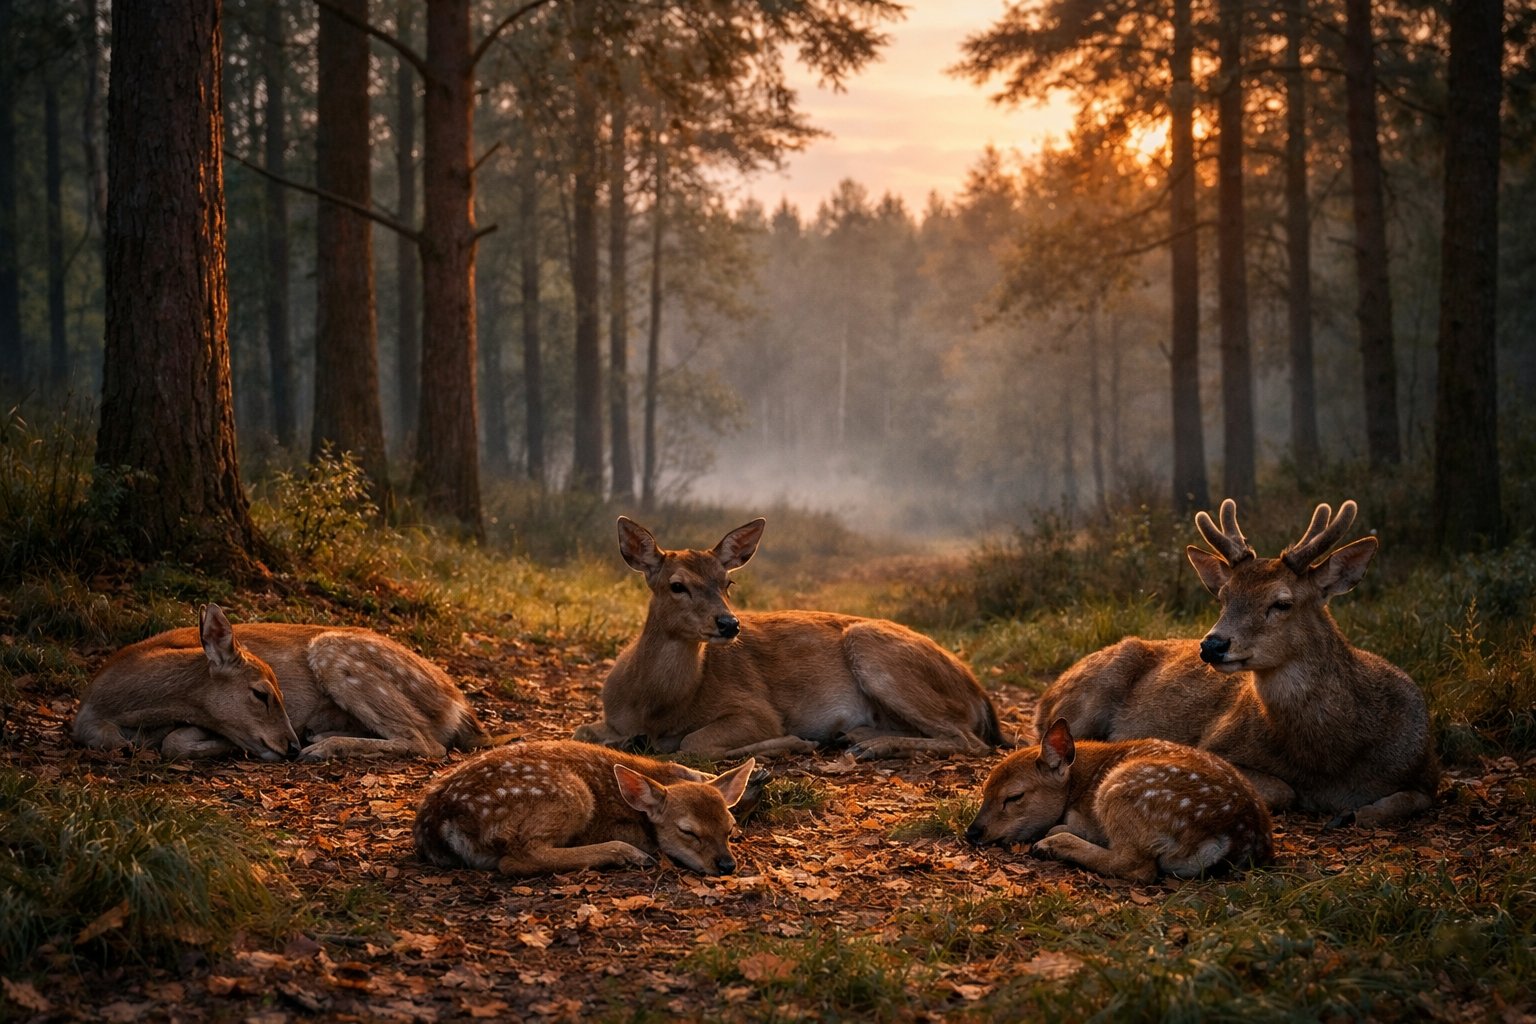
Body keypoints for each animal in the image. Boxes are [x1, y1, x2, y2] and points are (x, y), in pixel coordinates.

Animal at [73, 603, 491, 760]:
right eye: (261, 694)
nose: (289, 745)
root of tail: (459, 706)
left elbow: (173, 742)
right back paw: (319, 737)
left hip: (334, 652)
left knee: (428, 743)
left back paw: (320, 747)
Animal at [413, 739, 759, 877]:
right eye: (688, 831)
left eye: (730, 829)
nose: (726, 865)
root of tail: (438, 825)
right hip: (571, 793)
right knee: (517, 858)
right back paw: (627, 854)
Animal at [572, 516, 1006, 760]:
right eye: (677, 585)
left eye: (727, 582)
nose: (729, 624)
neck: (656, 706)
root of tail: (979, 696)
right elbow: (582, 731)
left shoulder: (755, 708)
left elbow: (693, 744)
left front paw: (796, 742)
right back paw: (857, 736)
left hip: (873, 648)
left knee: (969, 740)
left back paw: (869, 745)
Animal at [965, 718, 1273, 883]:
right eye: (984, 791)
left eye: (1014, 796)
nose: (973, 832)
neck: (1078, 784)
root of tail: (1236, 837)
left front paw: (1056, 833)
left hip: (1122, 790)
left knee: (1137, 866)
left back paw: (1052, 844)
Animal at [1034, 499, 1439, 827]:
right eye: (1224, 597)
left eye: (1282, 602)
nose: (1212, 645)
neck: (1330, 759)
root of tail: (1047, 693)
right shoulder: (1216, 743)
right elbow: (1284, 791)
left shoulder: (1423, 764)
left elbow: (1408, 801)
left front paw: (1353, 813)